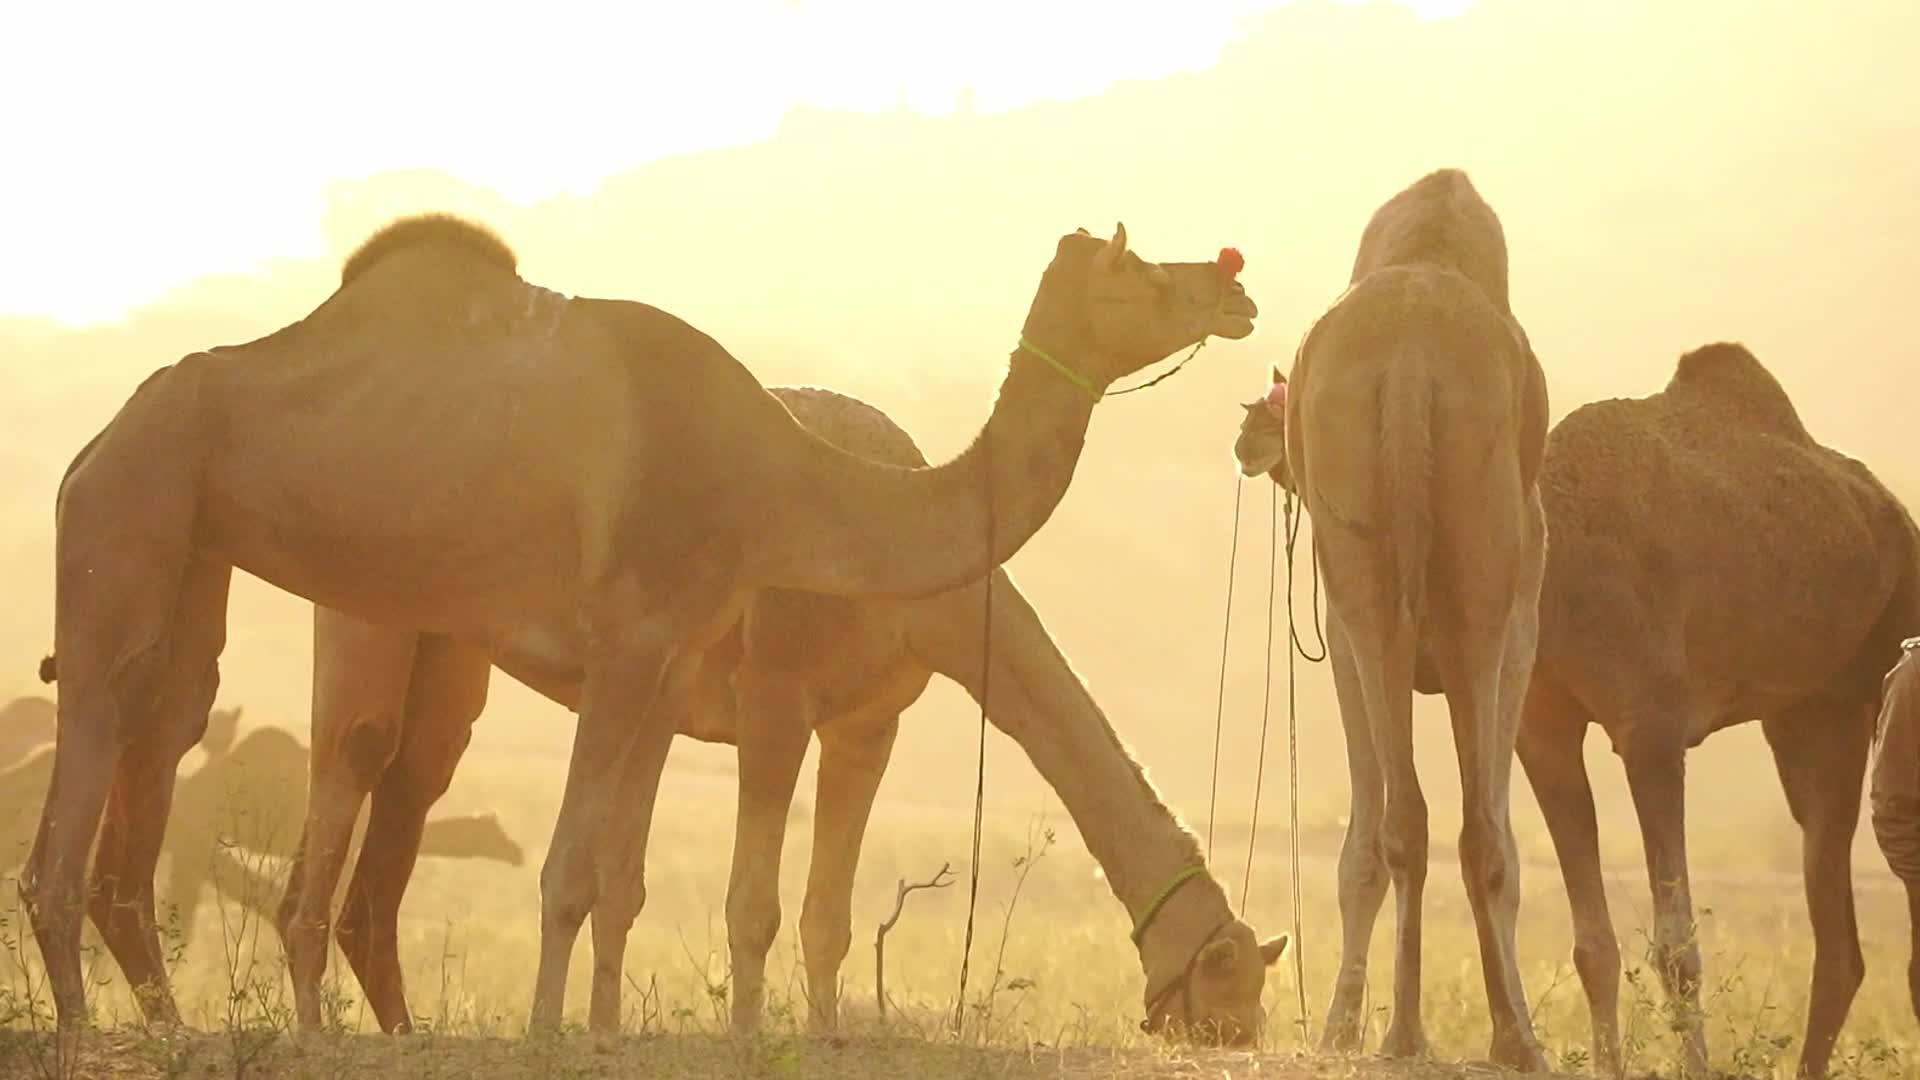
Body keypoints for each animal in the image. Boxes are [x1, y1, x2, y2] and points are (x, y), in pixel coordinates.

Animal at [276, 385, 1289, 1042]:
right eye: (1226, 1006)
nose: (1240, 1043)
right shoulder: (774, 695)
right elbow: (750, 906)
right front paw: (744, 1041)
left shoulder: (865, 724)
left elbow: (824, 914)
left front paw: (825, 1036)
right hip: (365, 604)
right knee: (353, 758)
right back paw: (317, 1032)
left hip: (450, 647)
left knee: (415, 776)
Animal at [1237, 168, 1550, 1070]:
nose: (1247, 438)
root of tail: (1411, 361)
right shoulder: (1517, 627)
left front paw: (1343, 1023)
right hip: (1468, 578)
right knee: (1462, 824)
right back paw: (1474, 1034)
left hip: (1383, 561)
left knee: (1421, 818)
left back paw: (1419, 1030)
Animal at [1239, 342, 1920, 1077]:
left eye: (1286, 406)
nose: (1247, 432)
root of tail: (1893, 513)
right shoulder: (1546, 727)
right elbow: (1593, 943)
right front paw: (1604, 1061)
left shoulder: (1652, 727)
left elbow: (1676, 943)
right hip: (1806, 714)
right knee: (1839, 936)